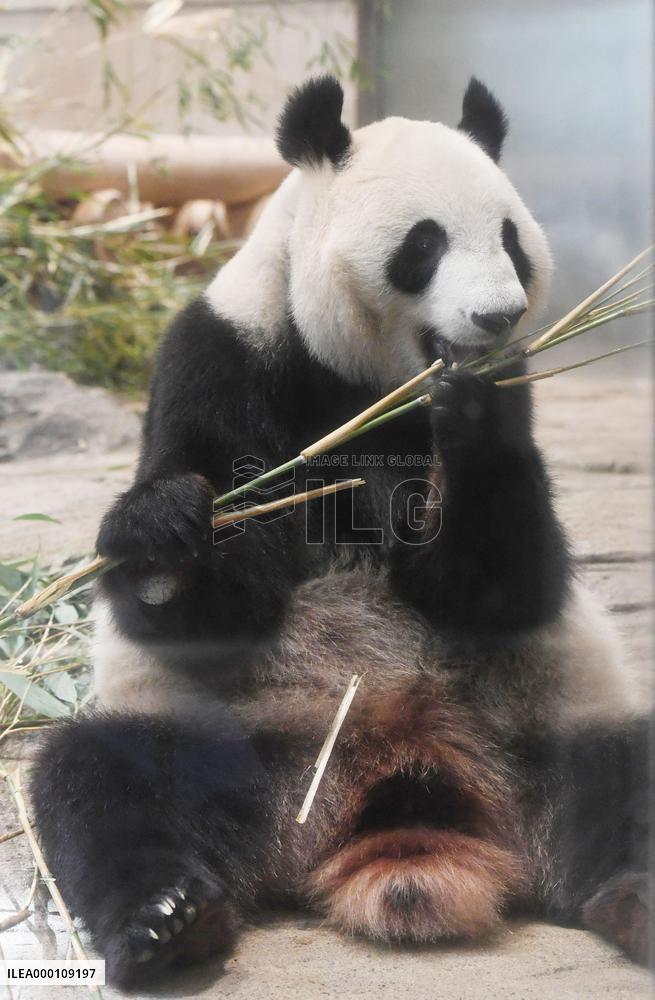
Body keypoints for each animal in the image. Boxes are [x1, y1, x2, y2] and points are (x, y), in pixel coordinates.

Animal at [30, 76, 649, 987]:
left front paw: (473, 416)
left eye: (509, 238)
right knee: (104, 781)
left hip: (545, 731)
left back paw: (635, 899)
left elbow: (500, 587)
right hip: (247, 751)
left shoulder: (514, 392)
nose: (495, 317)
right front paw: (165, 533)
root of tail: (401, 790)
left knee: (622, 777)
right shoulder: (221, 358)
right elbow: (207, 607)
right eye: (423, 244)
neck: (366, 383)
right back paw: (169, 922)